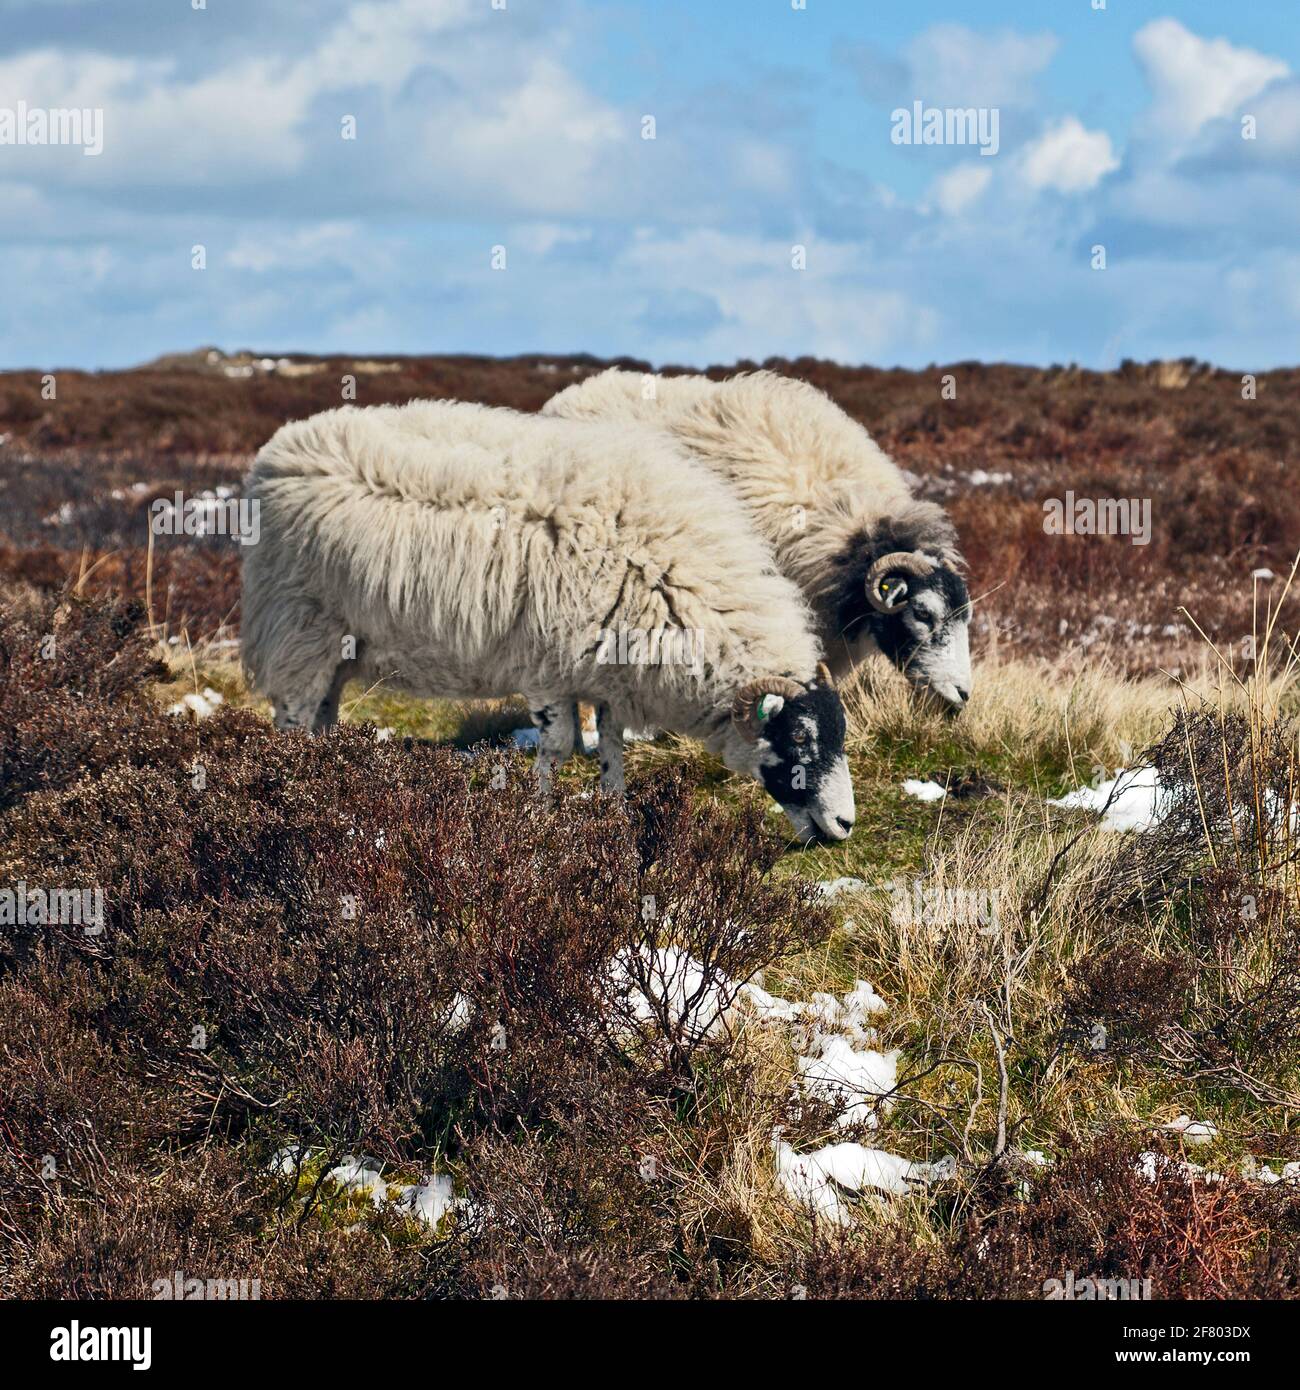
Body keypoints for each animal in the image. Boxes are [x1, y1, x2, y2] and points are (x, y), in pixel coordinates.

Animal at [241, 397, 862, 839]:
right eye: (799, 736)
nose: (845, 825)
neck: (668, 577)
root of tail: (279, 450)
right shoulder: (545, 665)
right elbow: (561, 746)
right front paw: (540, 820)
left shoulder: (608, 669)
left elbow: (611, 744)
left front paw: (614, 813)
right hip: (299, 629)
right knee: (293, 720)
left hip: (338, 646)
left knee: (322, 717)